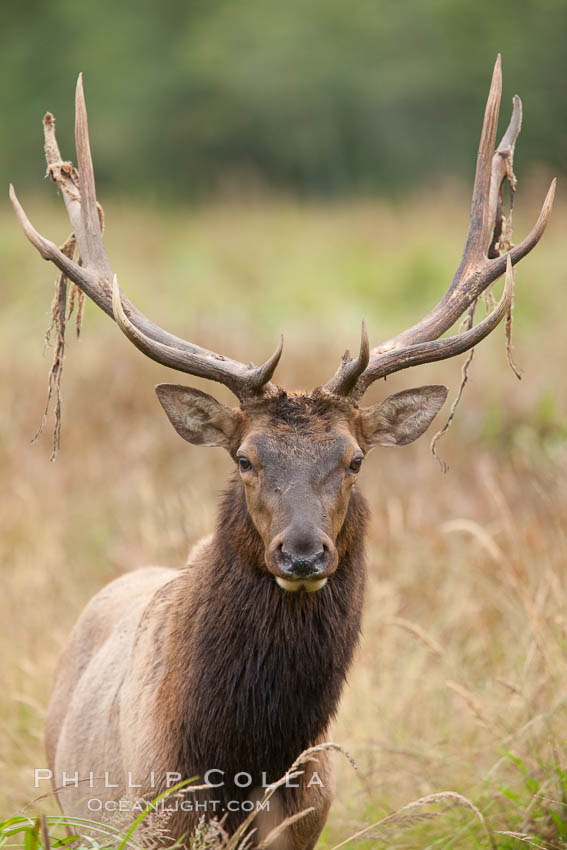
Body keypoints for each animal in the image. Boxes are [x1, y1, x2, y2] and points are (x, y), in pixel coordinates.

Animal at [11, 56, 556, 844]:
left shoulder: (305, 823)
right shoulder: (145, 818)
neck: (238, 766)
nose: (302, 554)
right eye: (245, 459)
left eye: (354, 460)